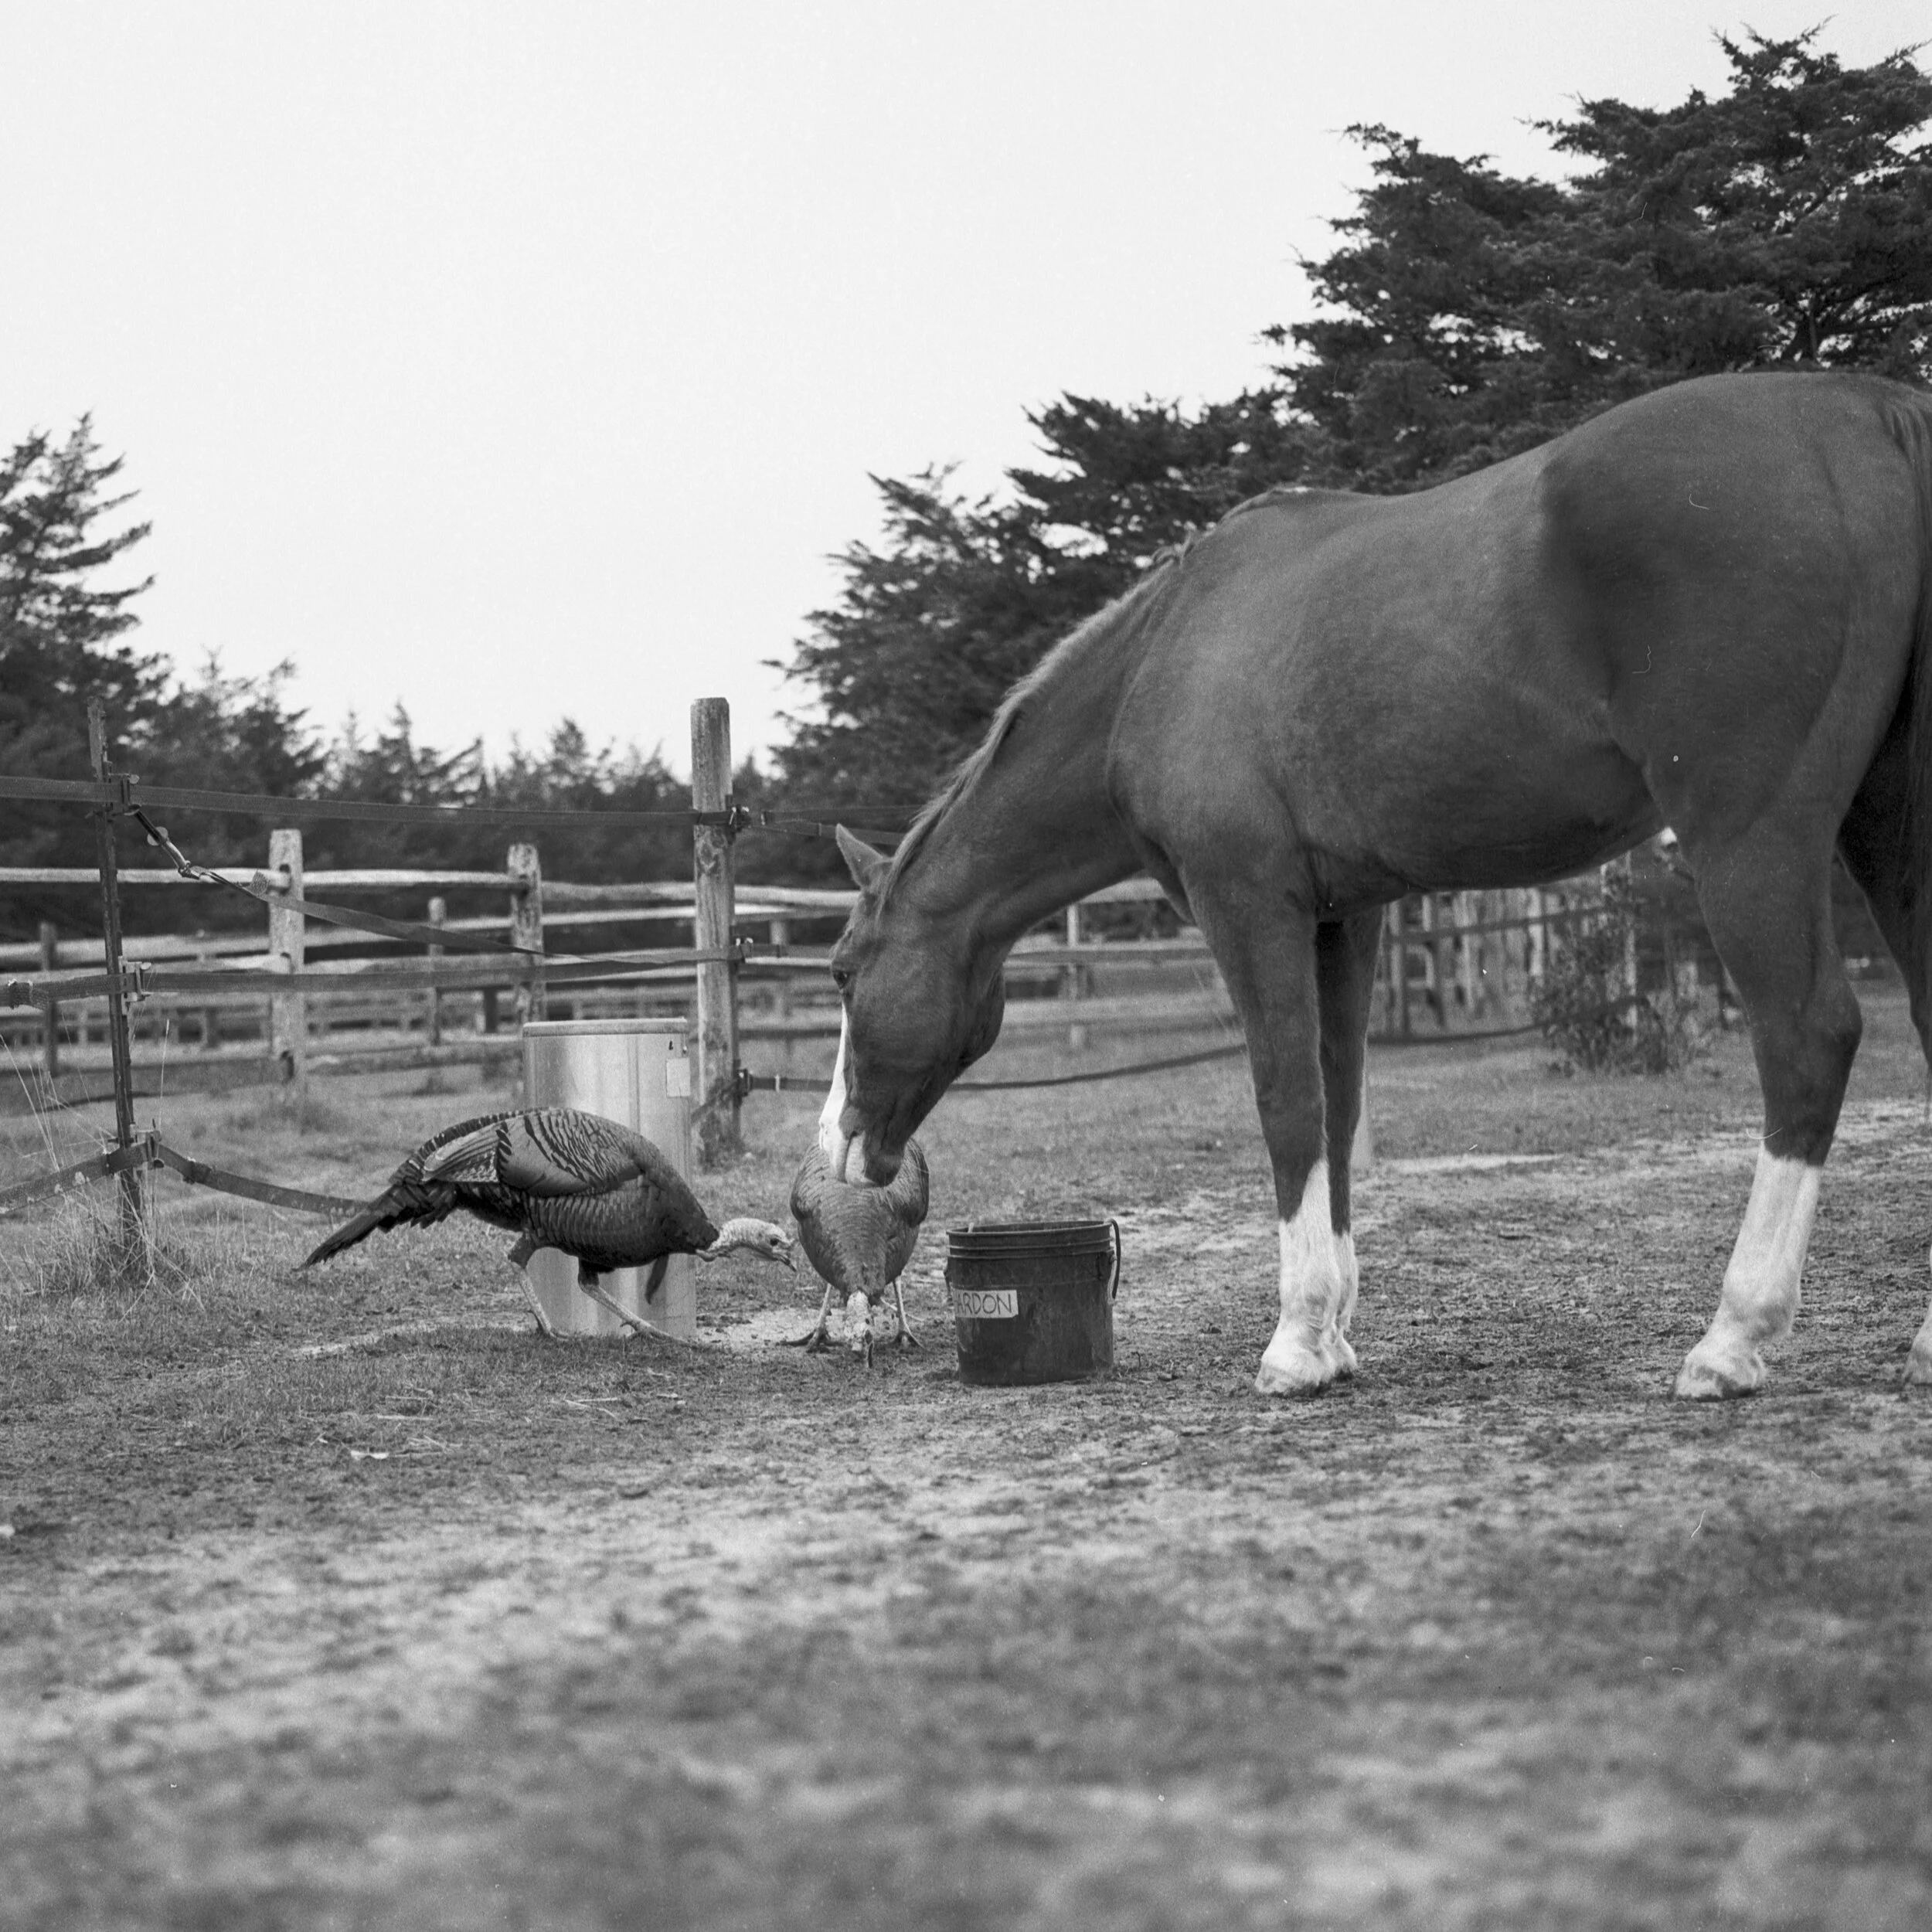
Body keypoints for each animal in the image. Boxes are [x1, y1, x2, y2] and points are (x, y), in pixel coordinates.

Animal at [817, 370, 1932, 1400]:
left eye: (840, 970)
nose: (841, 1145)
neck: (1162, 658)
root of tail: (1862, 414)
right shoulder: (1340, 921)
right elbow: (1338, 1105)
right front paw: (1334, 1333)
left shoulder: (1249, 907)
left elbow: (1287, 1101)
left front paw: (1294, 1345)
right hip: (1887, 835)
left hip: (1751, 838)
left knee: (1806, 1041)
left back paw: (1731, 1340)